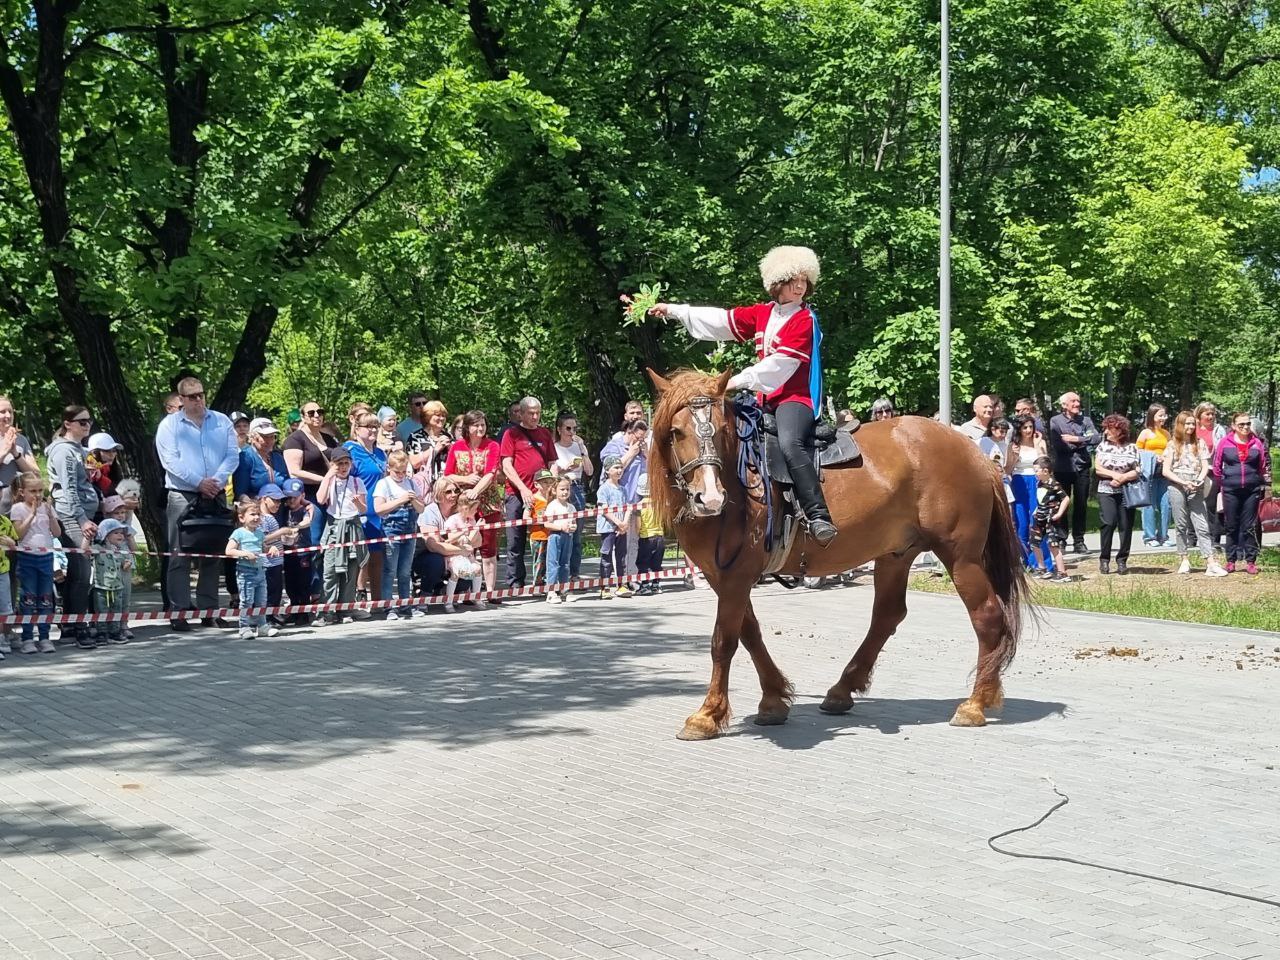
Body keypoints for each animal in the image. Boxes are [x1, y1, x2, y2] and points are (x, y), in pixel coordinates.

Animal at [650, 371, 1029, 742]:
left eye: (722, 429)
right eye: (676, 431)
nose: (709, 498)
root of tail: (974, 452)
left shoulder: (736, 576)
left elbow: (724, 641)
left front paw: (707, 715)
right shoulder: (723, 577)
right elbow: (749, 632)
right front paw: (773, 699)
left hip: (961, 558)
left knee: (987, 616)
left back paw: (976, 703)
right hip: (896, 555)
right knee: (887, 616)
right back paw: (844, 689)